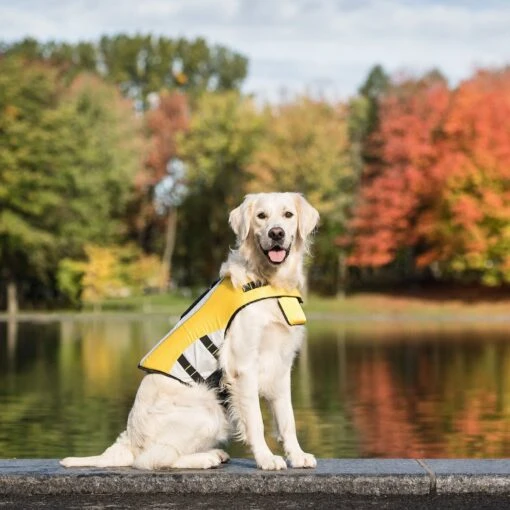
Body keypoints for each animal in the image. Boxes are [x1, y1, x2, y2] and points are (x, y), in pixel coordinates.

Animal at [60, 192, 318, 470]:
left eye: (288, 215)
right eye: (261, 216)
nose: (276, 233)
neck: (266, 282)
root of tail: (129, 440)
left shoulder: (281, 364)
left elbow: (287, 418)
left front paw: (297, 455)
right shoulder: (243, 366)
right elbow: (256, 422)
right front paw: (267, 458)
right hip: (209, 408)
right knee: (153, 459)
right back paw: (207, 457)